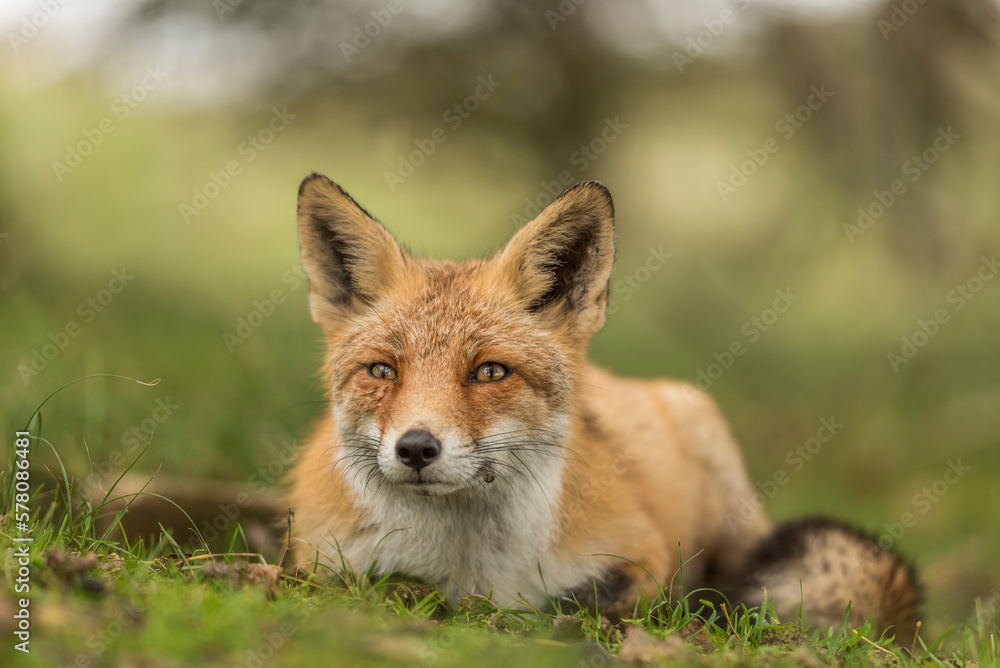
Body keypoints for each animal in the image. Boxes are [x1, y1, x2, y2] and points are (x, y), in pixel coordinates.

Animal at [284, 172, 920, 636]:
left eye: (490, 371)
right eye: (382, 371)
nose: (416, 448)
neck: (472, 566)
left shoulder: (643, 557)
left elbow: (601, 604)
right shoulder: (320, 561)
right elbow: (387, 586)